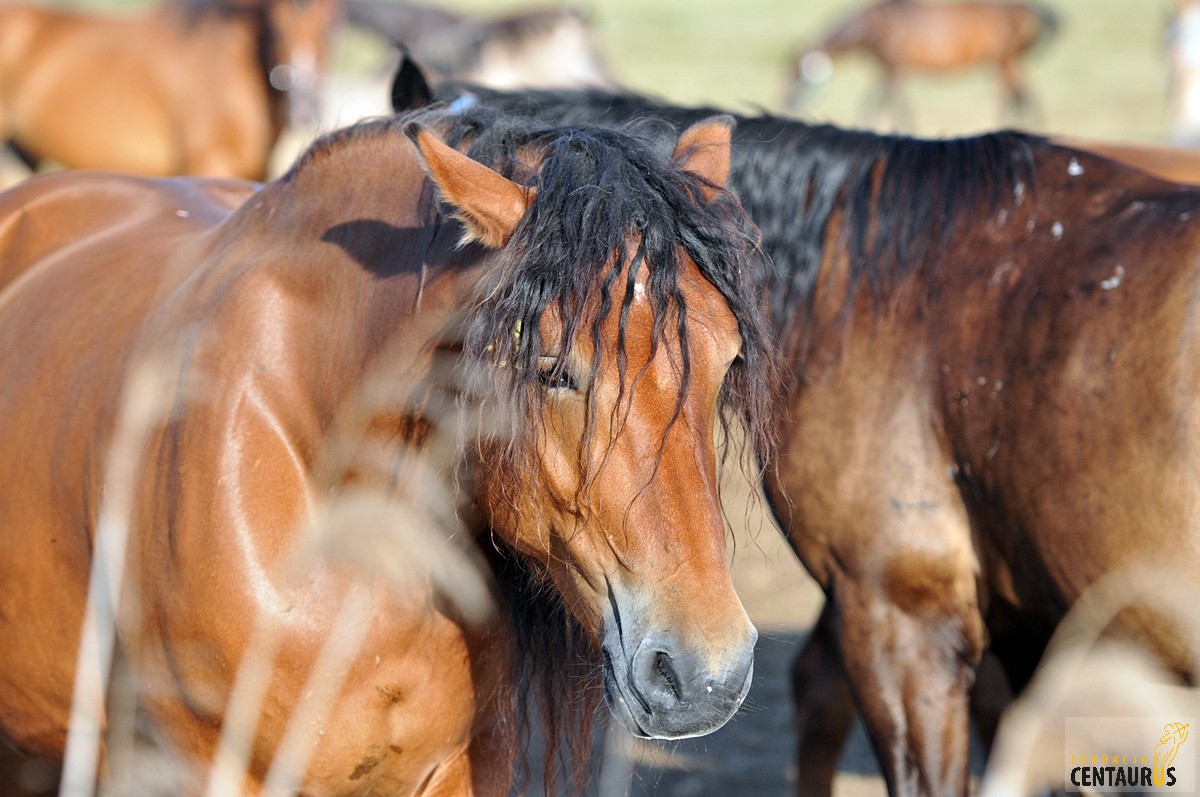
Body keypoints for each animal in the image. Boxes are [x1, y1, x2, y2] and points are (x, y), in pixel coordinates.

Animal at [400, 71, 1200, 792]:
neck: (877, 282)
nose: (707, 677)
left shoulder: (901, 620)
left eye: (729, 360)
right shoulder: (1013, 634)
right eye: (552, 369)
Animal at [787, 0, 1060, 127]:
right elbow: (897, 105)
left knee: (1020, 96)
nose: (788, 104)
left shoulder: (892, 68)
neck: (876, 26)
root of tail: (1023, 9)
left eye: (797, 73)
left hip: (1006, 61)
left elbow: (877, 103)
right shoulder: (893, 70)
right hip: (1003, 63)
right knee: (1018, 96)